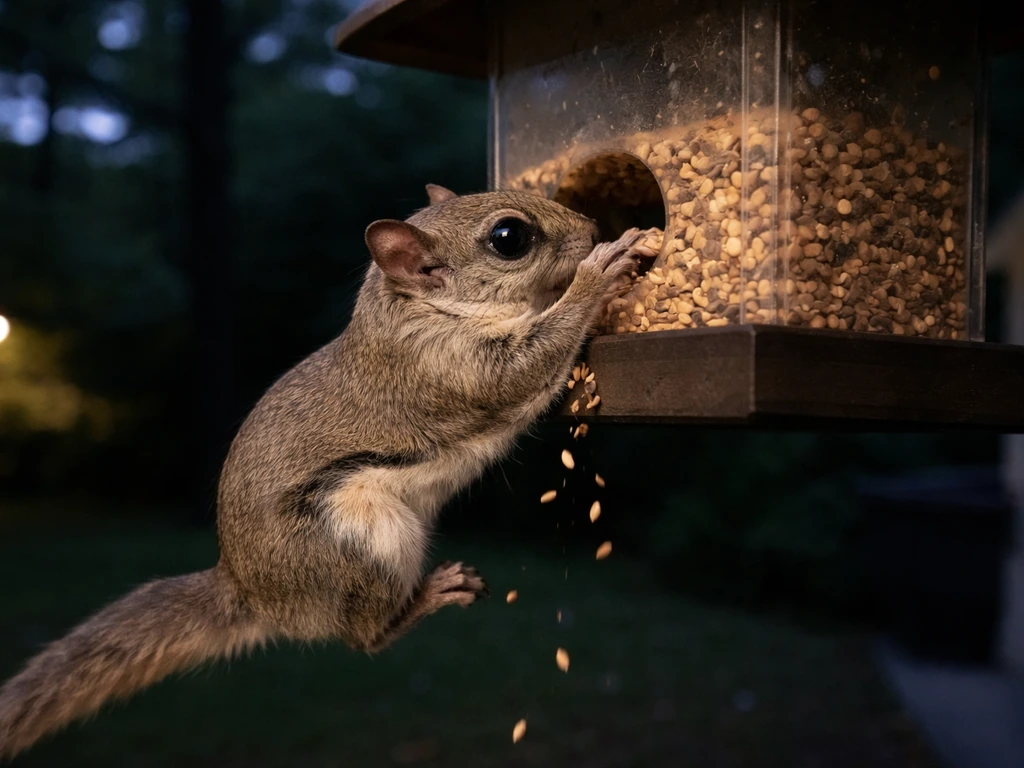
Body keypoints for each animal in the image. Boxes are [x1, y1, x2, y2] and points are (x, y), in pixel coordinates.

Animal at [0, 183, 655, 760]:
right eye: (508, 238)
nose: (592, 229)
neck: (419, 310)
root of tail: (250, 589)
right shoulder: (449, 368)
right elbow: (525, 364)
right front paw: (599, 272)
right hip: (364, 539)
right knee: (365, 637)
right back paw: (433, 594)